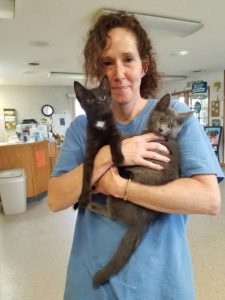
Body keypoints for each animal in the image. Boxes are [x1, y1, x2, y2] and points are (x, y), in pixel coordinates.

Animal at [86, 94, 193, 288]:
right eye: (161, 119)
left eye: (171, 126)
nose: (161, 129)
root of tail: (146, 218)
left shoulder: (137, 140)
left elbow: (123, 137)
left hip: (116, 198)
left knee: (111, 213)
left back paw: (92, 203)